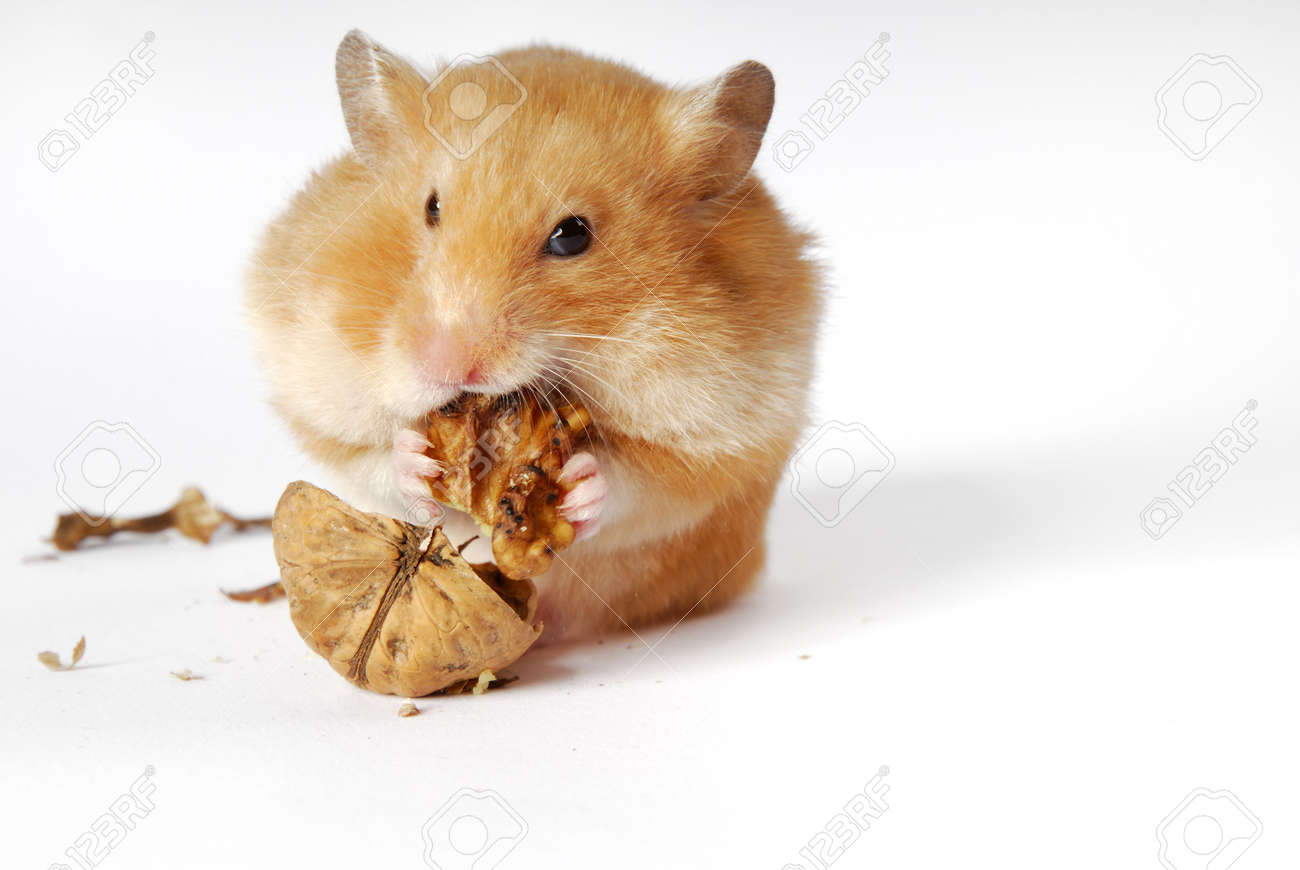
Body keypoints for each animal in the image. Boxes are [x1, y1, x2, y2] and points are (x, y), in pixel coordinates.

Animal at [245, 31, 821, 641]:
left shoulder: (726, 435)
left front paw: (583, 478)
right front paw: (416, 461)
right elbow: (367, 456)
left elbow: (642, 480)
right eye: (431, 208)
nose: (448, 366)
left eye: (572, 236)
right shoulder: (313, 385)